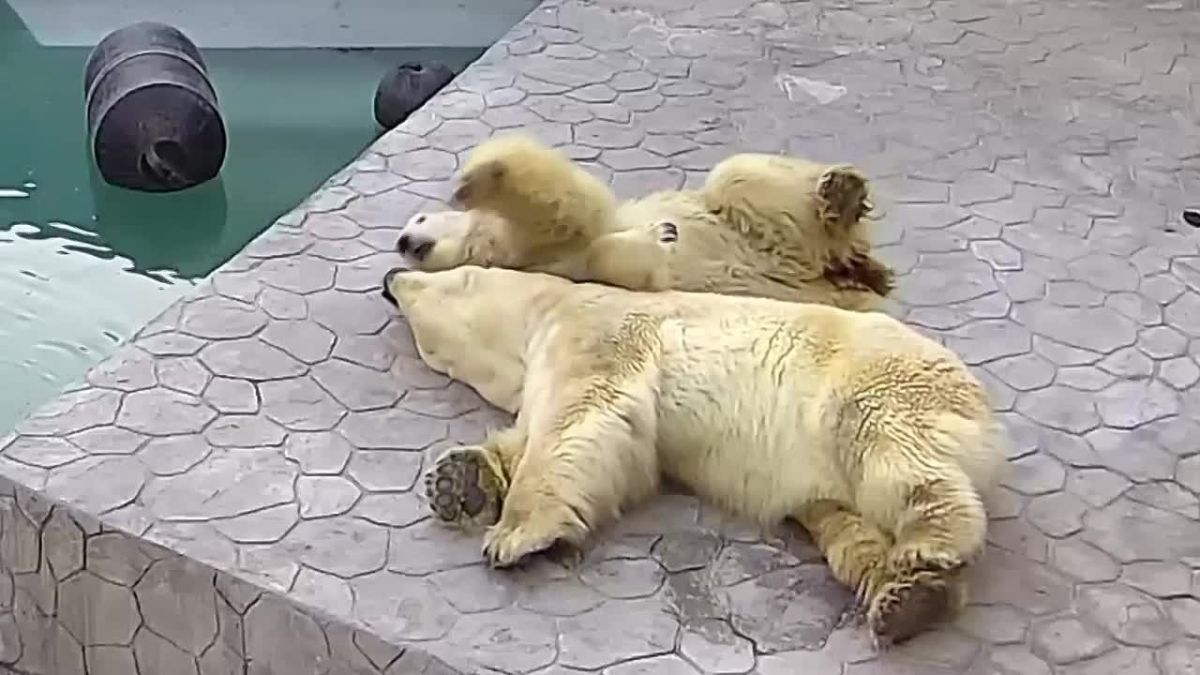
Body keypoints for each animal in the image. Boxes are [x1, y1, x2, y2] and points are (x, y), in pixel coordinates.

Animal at [380, 264, 1009, 646]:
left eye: (447, 276)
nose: (391, 276)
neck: (550, 306)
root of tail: (986, 414)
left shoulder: (598, 330)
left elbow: (582, 416)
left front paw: (512, 535)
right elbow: (563, 441)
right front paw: (460, 482)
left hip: (872, 384)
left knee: (891, 453)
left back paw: (930, 545)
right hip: (828, 486)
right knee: (844, 525)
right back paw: (909, 598)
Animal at [394, 134, 895, 310]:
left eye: (418, 216)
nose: (404, 240)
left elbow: (571, 202)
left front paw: (476, 178)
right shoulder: (536, 259)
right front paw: (655, 242)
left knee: (738, 176)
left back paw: (844, 201)